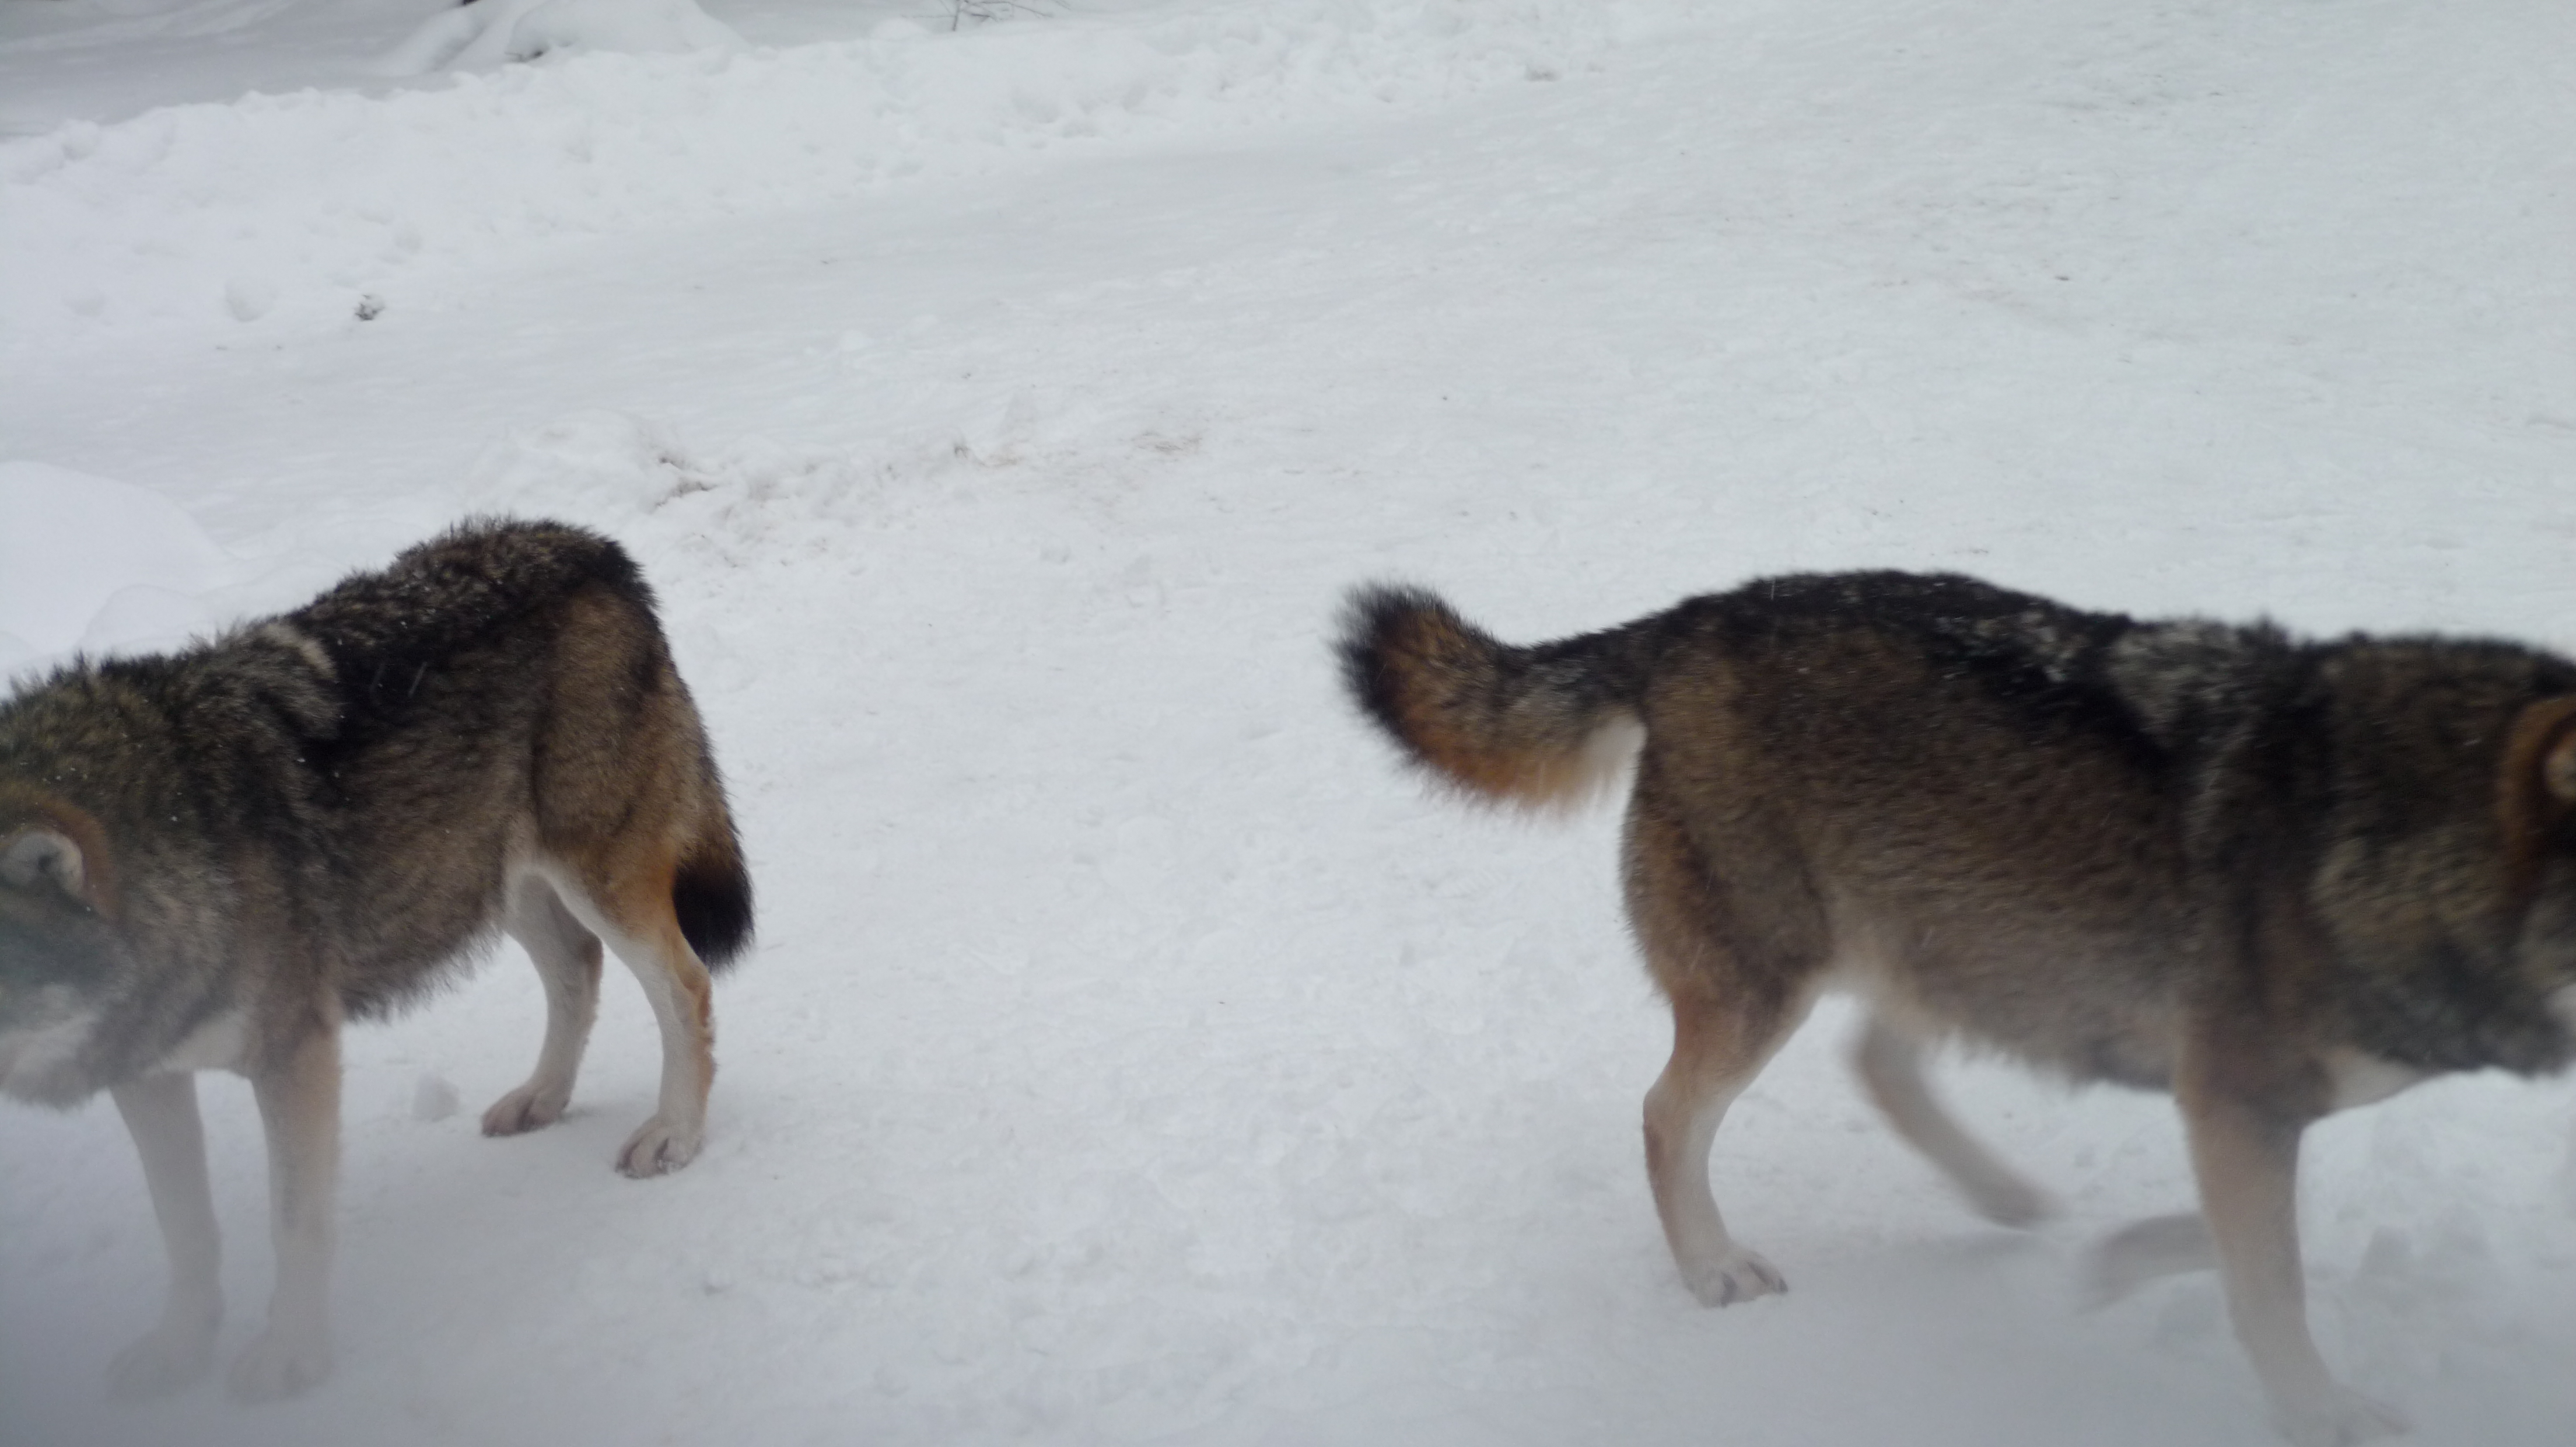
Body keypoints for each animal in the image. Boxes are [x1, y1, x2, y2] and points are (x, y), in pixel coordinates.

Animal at [0, 517, 752, 1401]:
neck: (176, 849)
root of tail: (588, 544)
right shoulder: (145, 1071)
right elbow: (184, 1232)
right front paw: (179, 1350)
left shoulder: (294, 1054)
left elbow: (295, 1223)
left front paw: (289, 1356)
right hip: (490, 878)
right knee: (578, 967)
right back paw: (540, 1098)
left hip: (591, 878)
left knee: (686, 987)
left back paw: (673, 1135)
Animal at [1338, 569, 2576, 1446]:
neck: (2394, 842)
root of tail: (1692, 618)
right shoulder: (2234, 1099)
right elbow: (2269, 1284)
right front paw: (2325, 1418)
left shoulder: (2235, 1106)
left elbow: (2244, 1242)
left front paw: (2111, 1264)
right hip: (1768, 990)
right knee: (1665, 1113)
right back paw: (1716, 1270)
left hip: (1955, 949)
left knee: (1877, 1066)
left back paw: (2006, 1199)